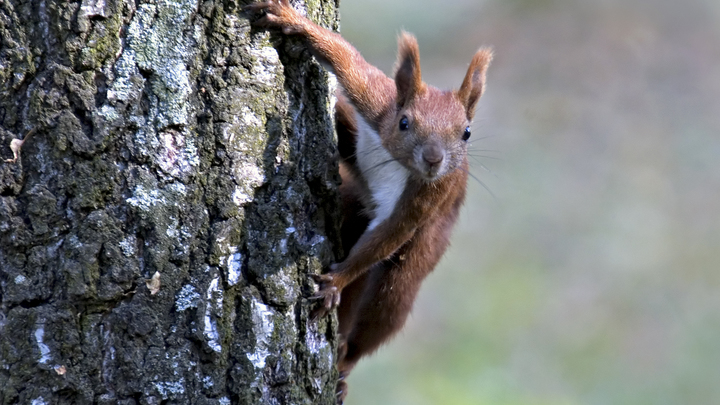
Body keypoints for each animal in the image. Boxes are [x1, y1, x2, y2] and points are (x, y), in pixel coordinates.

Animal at [245, 0, 492, 400]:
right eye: (404, 122)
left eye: (466, 133)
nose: (434, 159)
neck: (397, 162)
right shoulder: (375, 101)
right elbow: (346, 60)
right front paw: (292, 20)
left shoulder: (430, 193)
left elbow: (391, 233)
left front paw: (336, 281)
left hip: (414, 265)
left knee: (384, 311)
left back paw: (345, 365)